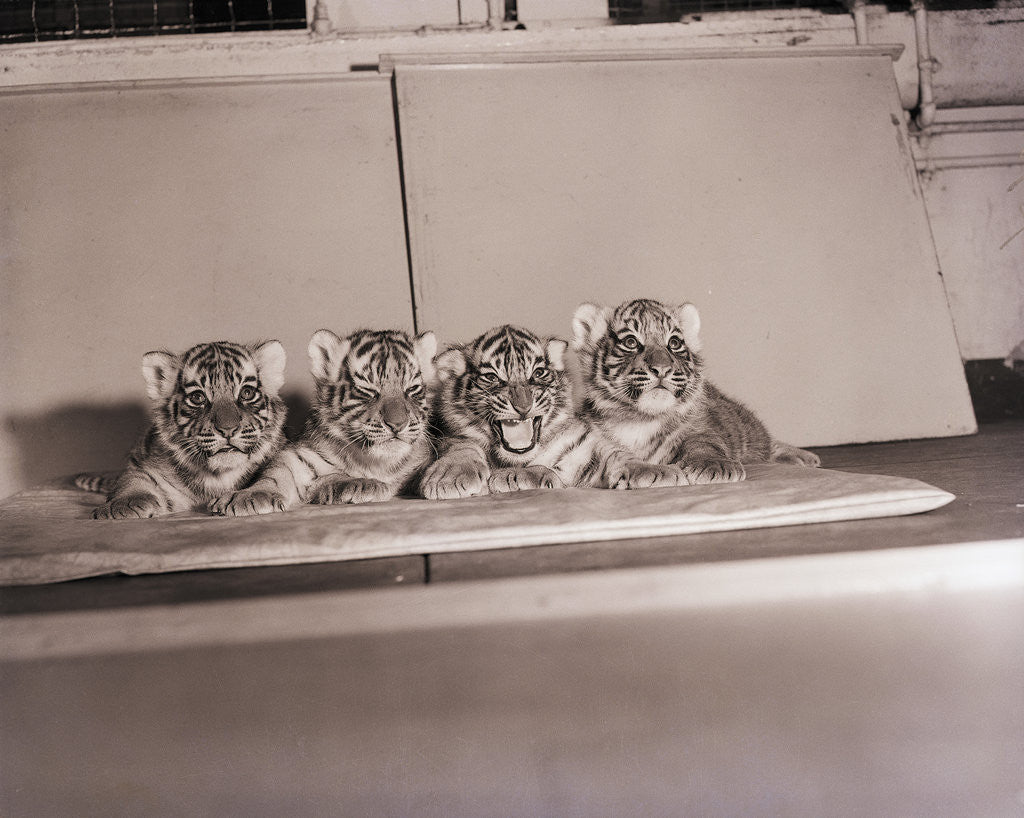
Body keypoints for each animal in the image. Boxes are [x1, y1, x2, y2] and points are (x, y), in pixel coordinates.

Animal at [77, 340, 288, 519]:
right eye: (197, 397)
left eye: (247, 393)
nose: (228, 430)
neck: (219, 476)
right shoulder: (149, 470)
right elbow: (132, 479)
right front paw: (122, 505)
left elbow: (276, 472)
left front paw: (250, 496)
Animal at [212, 328, 437, 516]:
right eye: (367, 390)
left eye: (412, 389)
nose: (397, 424)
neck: (377, 462)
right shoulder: (297, 454)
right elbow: (275, 473)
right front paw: (250, 496)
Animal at [420, 324, 684, 500]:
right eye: (492, 378)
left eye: (537, 373)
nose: (523, 407)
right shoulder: (448, 437)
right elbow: (462, 447)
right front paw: (450, 478)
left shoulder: (586, 443)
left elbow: (618, 454)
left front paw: (658, 472)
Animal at [572, 298, 821, 484]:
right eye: (631, 342)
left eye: (674, 343)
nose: (662, 369)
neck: (641, 419)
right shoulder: (592, 439)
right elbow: (614, 455)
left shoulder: (701, 427)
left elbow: (704, 443)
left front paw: (713, 466)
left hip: (749, 431)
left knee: (769, 444)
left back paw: (807, 458)